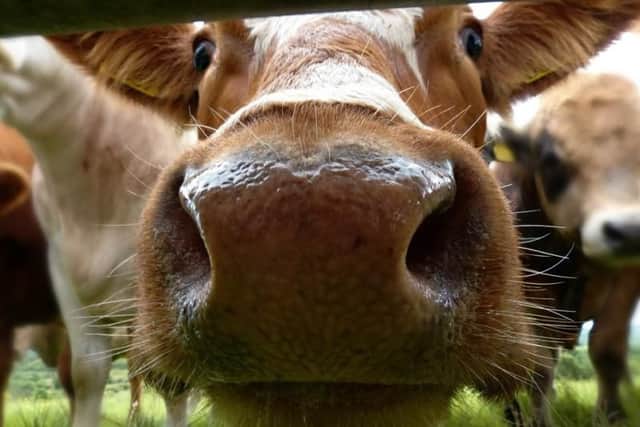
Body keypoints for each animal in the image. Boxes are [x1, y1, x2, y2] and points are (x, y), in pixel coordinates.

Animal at [492, 70, 640, 425]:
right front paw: (540, 420)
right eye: (550, 159)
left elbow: (608, 349)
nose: (629, 231)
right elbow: (539, 365)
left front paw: (611, 415)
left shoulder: (629, 277)